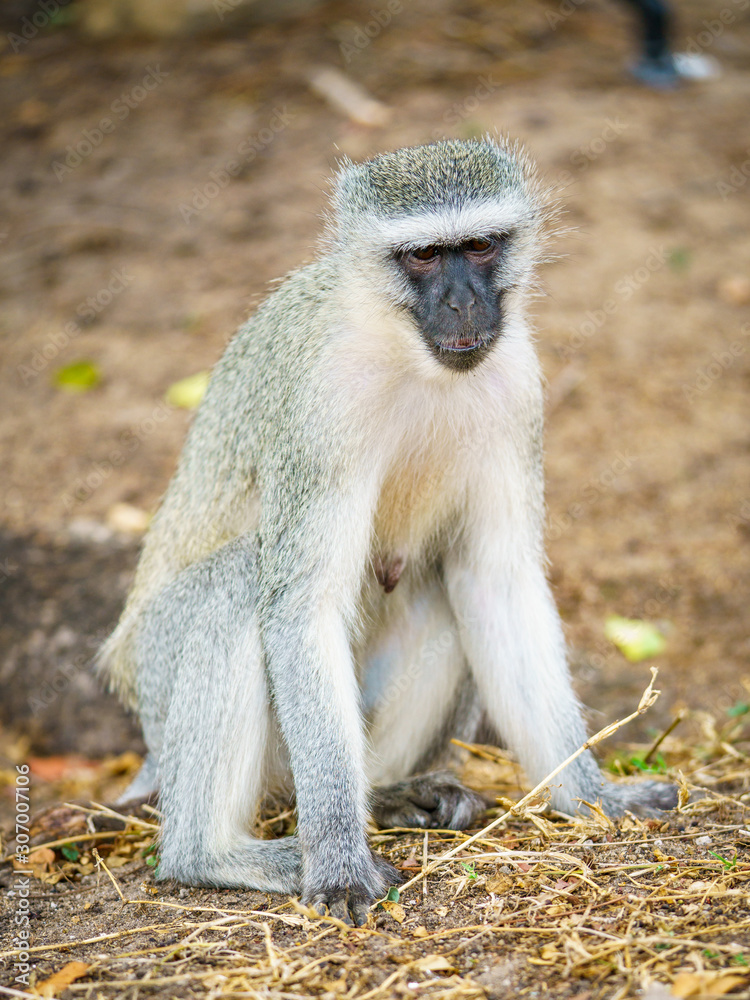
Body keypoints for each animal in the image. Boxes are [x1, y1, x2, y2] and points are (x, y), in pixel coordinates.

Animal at [101, 137, 680, 924]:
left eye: (479, 246)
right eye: (425, 258)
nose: (465, 301)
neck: (408, 354)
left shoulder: (517, 387)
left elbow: (494, 583)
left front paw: (590, 795)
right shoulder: (323, 409)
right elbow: (303, 606)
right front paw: (340, 863)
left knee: (440, 591)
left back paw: (389, 793)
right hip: (164, 686)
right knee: (240, 583)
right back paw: (216, 853)